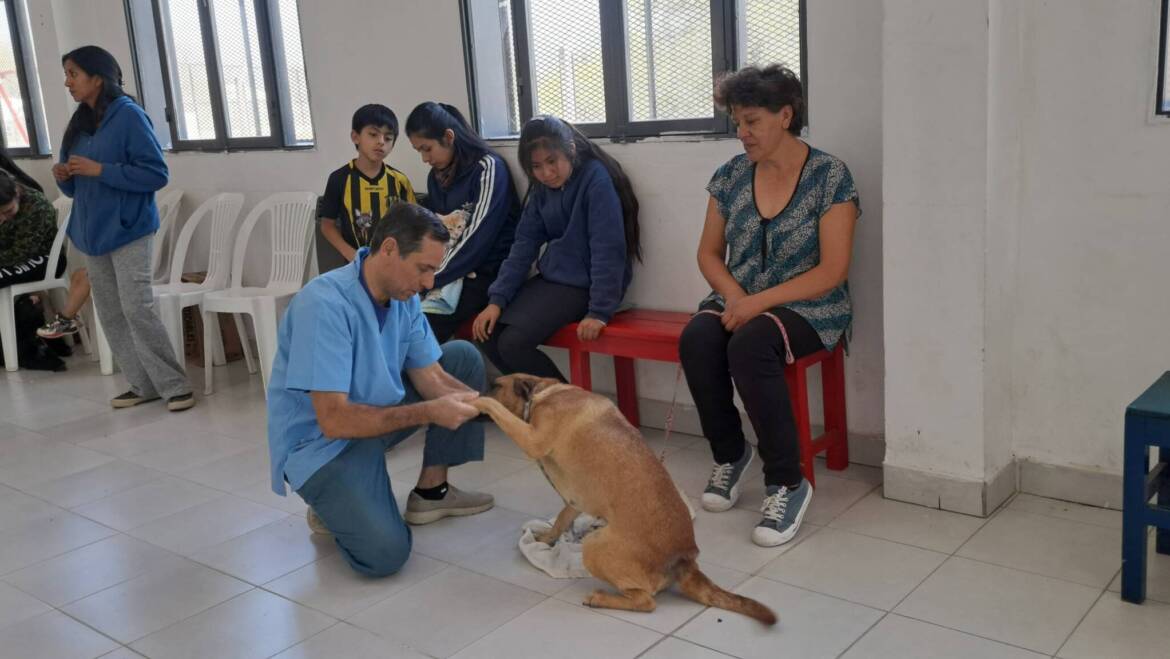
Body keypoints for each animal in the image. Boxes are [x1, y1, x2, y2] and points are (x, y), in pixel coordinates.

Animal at [465, 374, 776, 627]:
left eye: (495, 385)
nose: (478, 388)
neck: (544, 392)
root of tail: (685, 559)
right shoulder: (574, 500)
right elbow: (562, 520)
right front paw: (547, 539)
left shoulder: (532, 439)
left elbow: (496, 409)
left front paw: (477, 400)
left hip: (594, 546)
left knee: (646, 601)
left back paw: (602, 598)